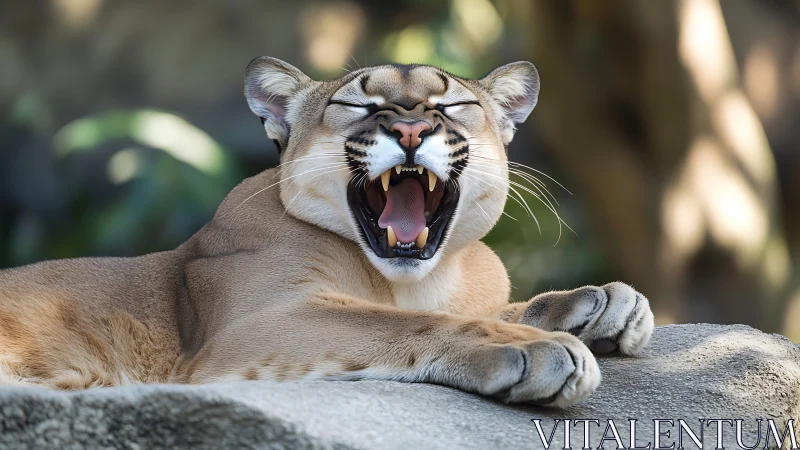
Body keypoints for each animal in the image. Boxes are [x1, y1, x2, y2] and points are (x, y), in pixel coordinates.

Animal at [0, 58, 653, 407]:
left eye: (450, 106)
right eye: (359, 105)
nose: (411, 129)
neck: (414, 279)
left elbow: (489, 307)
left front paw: (598, 303)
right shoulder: (257, 323)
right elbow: (402, 324)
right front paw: (535, 347)